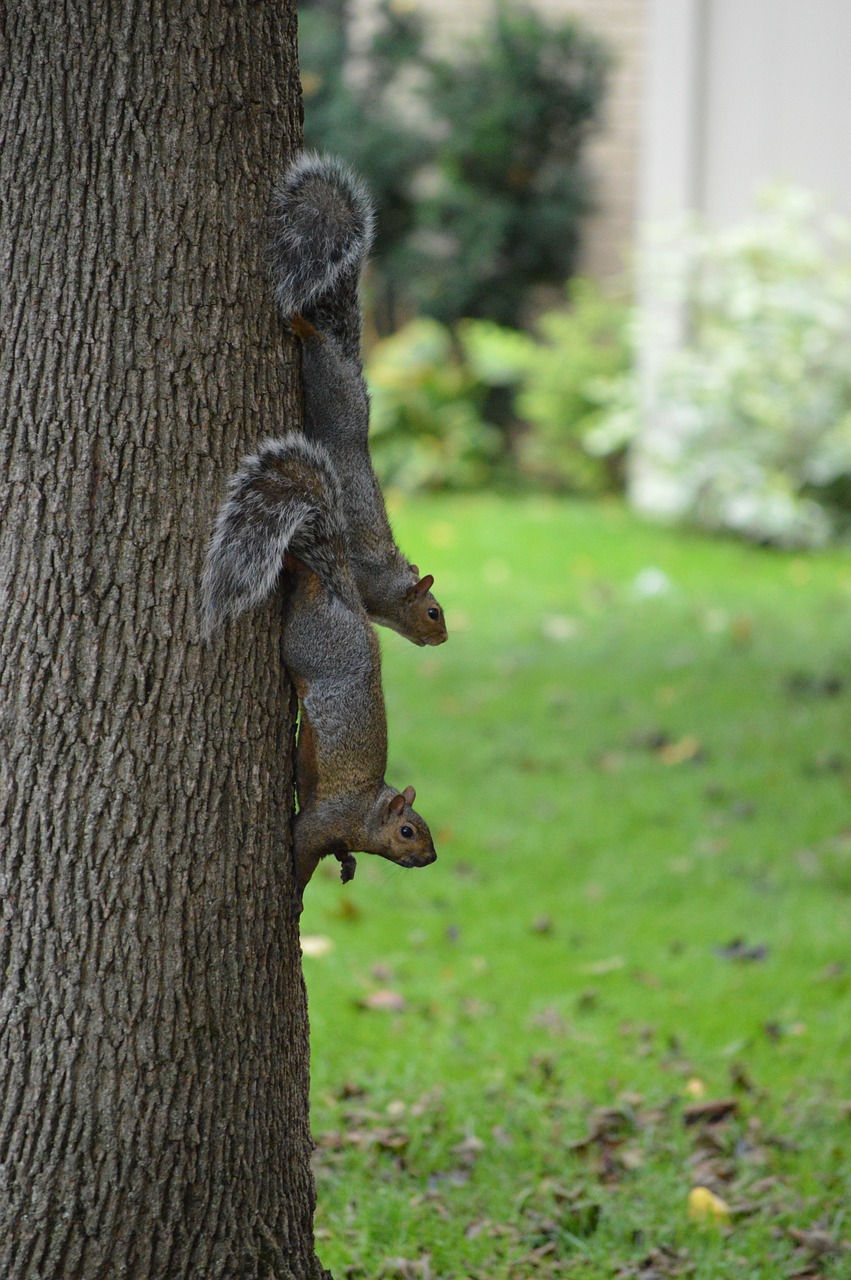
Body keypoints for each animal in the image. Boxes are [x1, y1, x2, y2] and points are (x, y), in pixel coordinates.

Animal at [202, 430, 435, 890]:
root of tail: (345, 598)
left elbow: (339, 852)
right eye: (407, 831)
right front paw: (297, 887)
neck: (367, 812)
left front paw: (347, 863)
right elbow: (303, 845)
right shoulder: (324, 820)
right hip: (306, 643)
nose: (432, 857)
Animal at [268, 152, 447, 650]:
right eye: (433, 611)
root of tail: (351, 364)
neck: (387, 586)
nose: (445, 638)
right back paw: (302, 323)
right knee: (316, 343)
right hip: (327, 383)